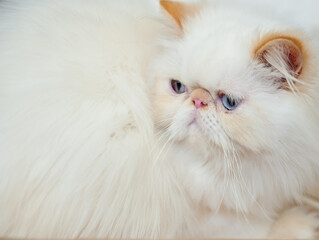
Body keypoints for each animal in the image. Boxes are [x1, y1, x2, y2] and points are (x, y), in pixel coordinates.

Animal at [0, 0, 319, 238]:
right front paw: (299, 225)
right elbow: (256, 229)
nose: (198, 100)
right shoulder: (200, 213)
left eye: (228, 102)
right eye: (178, 87)